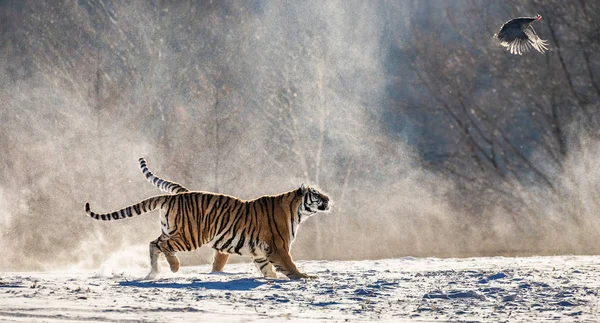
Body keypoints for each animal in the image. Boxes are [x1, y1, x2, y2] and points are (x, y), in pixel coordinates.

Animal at [85, 158, 330, 280]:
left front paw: (274, 278)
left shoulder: (261, 252)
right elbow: (289, 265)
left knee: (154, 243)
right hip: (191, 236)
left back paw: (153, 273)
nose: (329, 199)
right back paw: (174, 267)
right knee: (163, 245)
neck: (297, 211)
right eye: (316, 194)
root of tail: (171, 196)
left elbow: (268, 270)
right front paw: (305, 277)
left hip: (171, 229)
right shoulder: (278, 247)